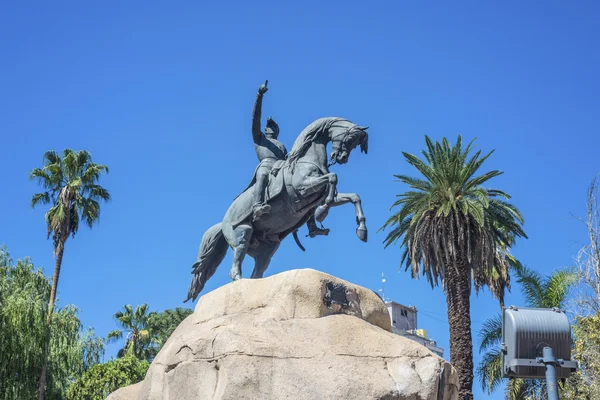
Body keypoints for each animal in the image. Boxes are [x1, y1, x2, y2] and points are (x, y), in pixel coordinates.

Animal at [185, 117, 368, 302]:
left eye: (355, 143)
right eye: (350, 138)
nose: (341, 158)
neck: (305, 160)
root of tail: (222, 224)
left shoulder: (318, 194)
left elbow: (353, 196)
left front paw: (361, 230)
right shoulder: (302, 188)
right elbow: (332, 178)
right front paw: (322, 212)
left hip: (268, 249)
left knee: (257, 272)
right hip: (242, 233)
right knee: (236, 265)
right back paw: (240, 281)